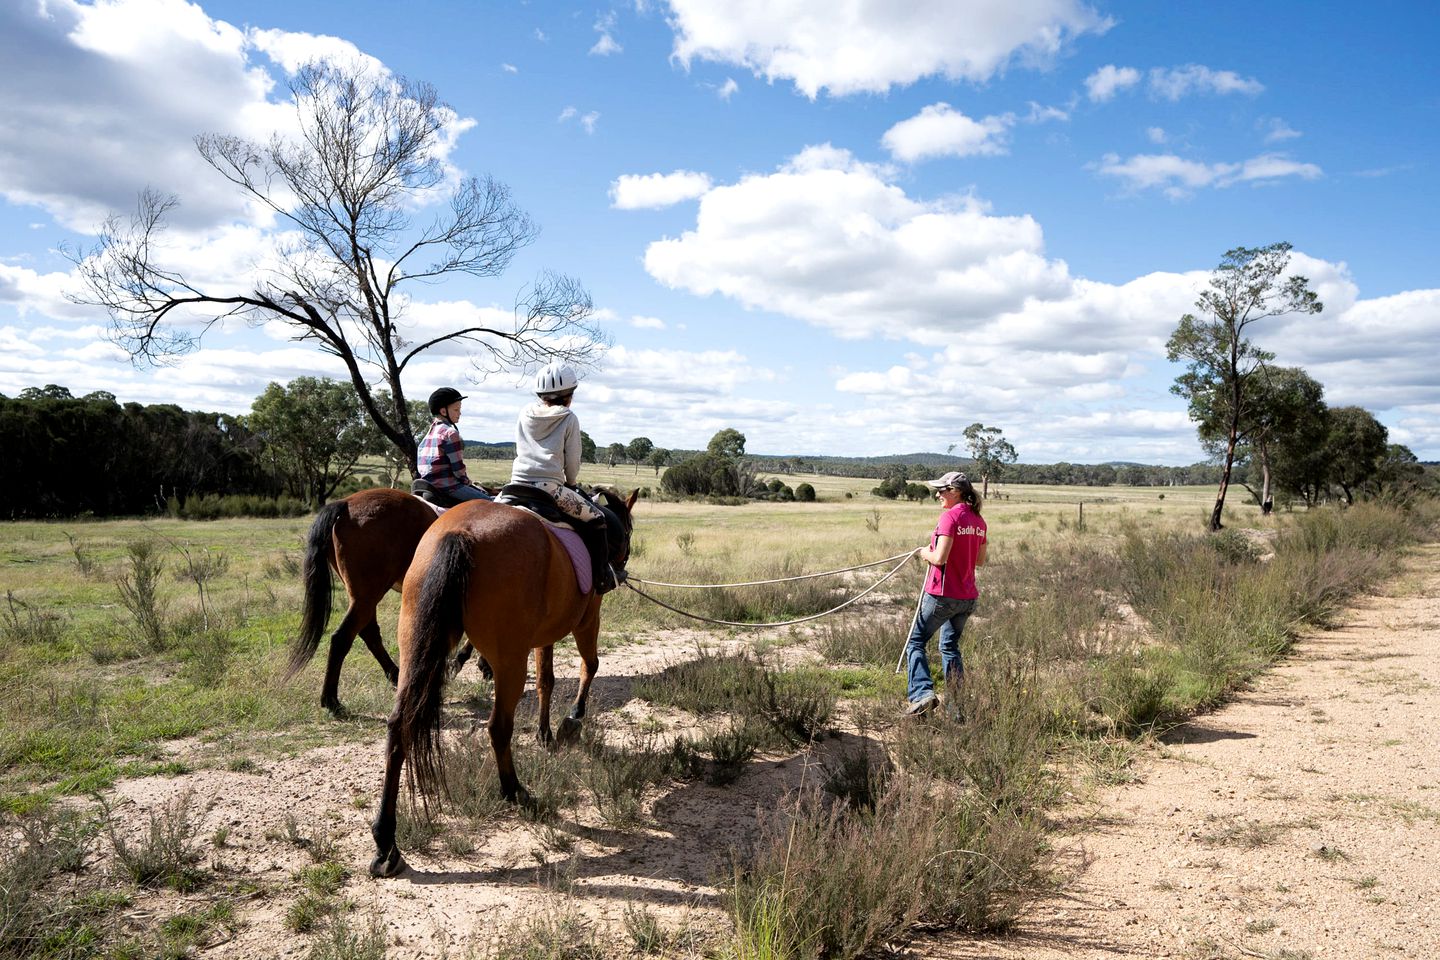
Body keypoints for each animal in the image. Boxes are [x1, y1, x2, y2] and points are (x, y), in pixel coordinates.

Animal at [368, 489, 633, 880]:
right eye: (626, 532)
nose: (623, 568)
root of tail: (459, 533)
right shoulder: (588, 619)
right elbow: (590, 665)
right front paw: (572, 719)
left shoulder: (542, 636)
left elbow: (546, 681)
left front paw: (545, 733)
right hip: (509, 660)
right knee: (498, 727)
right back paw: (514, 791)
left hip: (415, 648)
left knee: (399, 726)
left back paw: (386, 842)